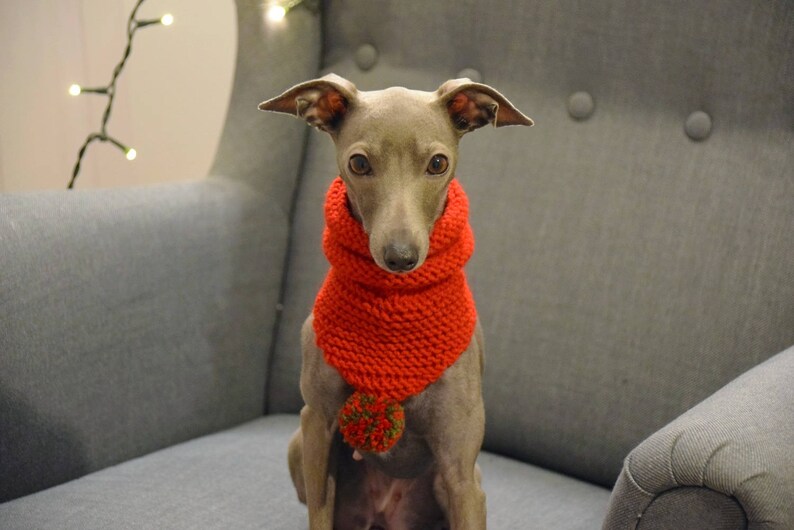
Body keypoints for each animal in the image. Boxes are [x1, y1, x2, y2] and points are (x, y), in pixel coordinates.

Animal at [262, 74, 532, 528]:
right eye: (358, 164)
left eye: (438, 164)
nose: (401, 258)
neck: (395, 314)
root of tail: (385, 515)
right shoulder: (318, 425)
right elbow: (318, 507)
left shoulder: (461, 472)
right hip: (300, 446)